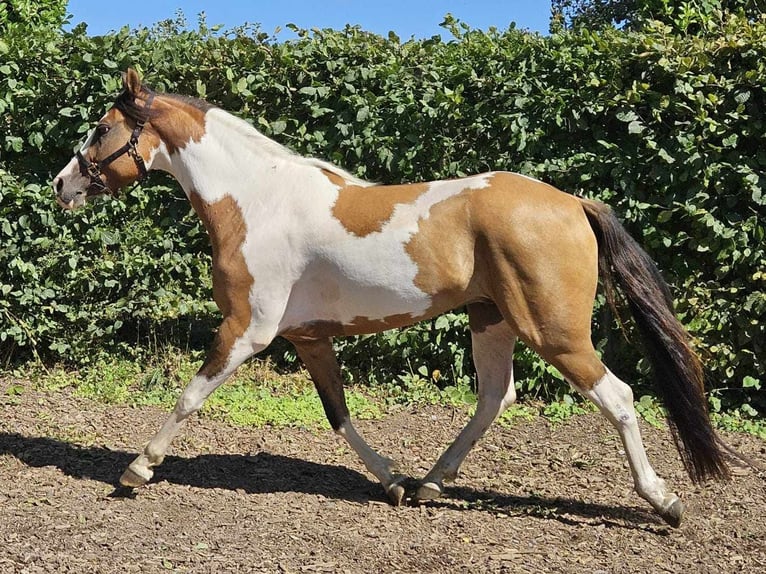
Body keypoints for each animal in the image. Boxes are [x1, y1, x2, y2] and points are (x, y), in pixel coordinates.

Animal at [51, 66, 728, 528]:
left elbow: (190, 397)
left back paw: (664, 500)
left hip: (554, 331)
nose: (61, 184)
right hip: (491, 320)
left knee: (617, 395)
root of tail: (573, 203)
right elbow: (339, 414)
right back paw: (430, 483)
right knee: (495, 398)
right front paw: (393, 483)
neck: (255, 201)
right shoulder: (308, 338)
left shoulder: (247, 328)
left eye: (102, 128)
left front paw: (137, 469)